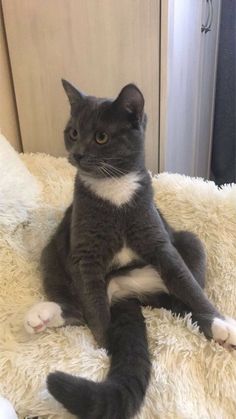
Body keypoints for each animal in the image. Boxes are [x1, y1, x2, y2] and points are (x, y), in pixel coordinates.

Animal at [25, 83, 236, 419]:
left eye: (101, 137)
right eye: (73, 132)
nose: (77, 153)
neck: (114, 190)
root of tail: (124, 293)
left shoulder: (158, 242)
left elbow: (188, 285)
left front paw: (217, 318)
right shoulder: (84, 255)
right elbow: (94, 309)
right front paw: (104, 348)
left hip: (190, 243)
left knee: (181, 298)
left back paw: (220, 330)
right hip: (53, 252)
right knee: (79, 307)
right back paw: (45, 315)